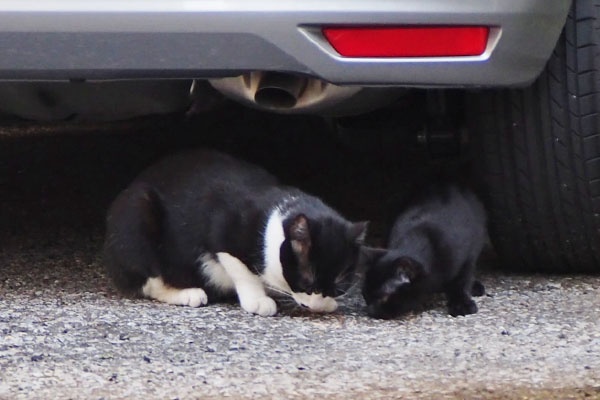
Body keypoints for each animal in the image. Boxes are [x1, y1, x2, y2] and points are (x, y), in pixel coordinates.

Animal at [103, 149, 366, 316]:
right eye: (307, 280)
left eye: (338, 284)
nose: (315, 305)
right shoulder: (222, 233)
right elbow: (242, 270)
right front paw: (257, 300)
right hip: (136, 217)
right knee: (150, 283)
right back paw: (187, 293)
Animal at [360, 184, 488, 318]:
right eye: (365, 294)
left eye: (383, 298)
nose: (369, 310)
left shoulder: (467, 257)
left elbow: (462, 281)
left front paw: (462, 304)